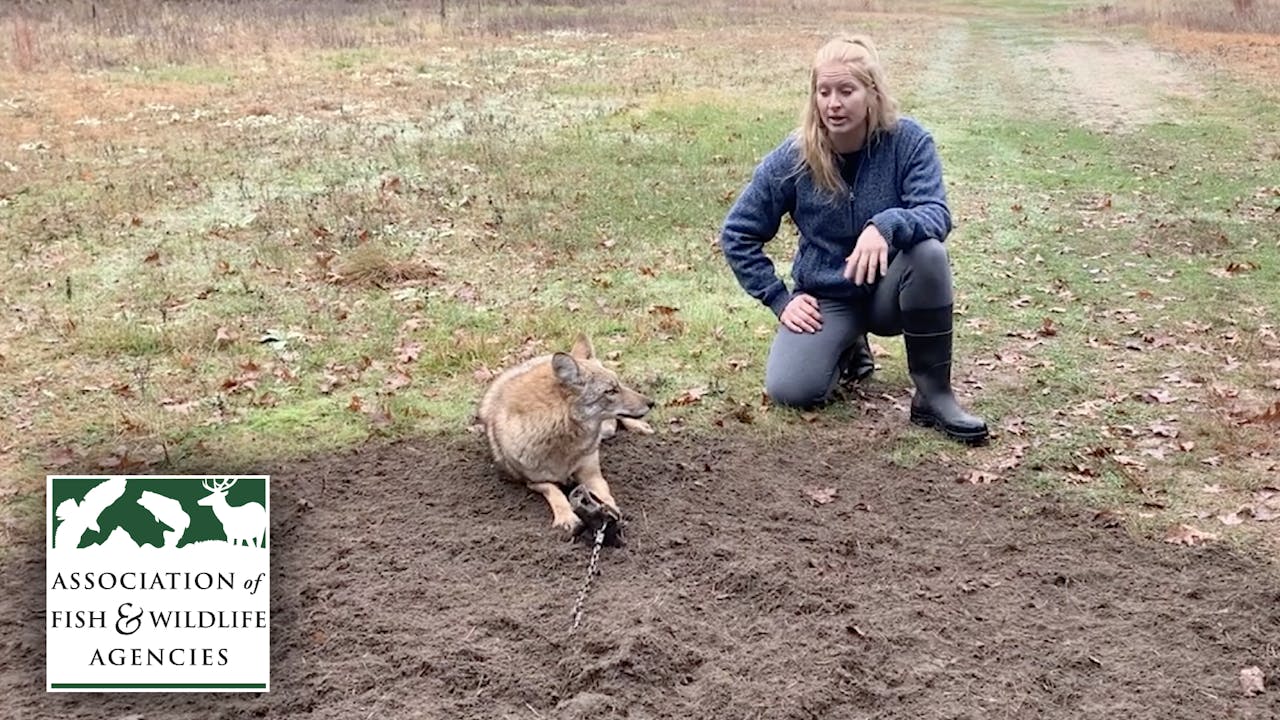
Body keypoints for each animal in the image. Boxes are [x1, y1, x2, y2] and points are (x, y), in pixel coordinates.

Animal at [478, 334, 654, 535]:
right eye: (610, 391)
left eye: (617, 386)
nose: (652, 403)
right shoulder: (536, 482)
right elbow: (555, 493)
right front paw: (567, 518)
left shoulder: (591, 473)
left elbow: (605, 493)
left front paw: (611, 512)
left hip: (607, 430)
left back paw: (640, 426)